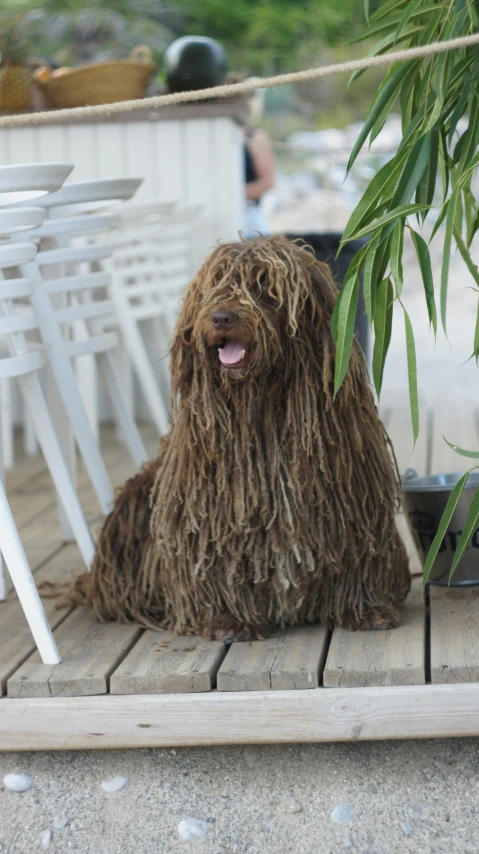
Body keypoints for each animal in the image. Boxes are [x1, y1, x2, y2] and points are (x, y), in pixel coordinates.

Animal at [72, 237, 412, 640]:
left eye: (265, 287)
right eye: (215, 285)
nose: (221, 317)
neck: (263, 411)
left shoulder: (349, 505)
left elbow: (356, 554)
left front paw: (364, 607)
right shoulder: (214, 520)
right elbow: (222, 566)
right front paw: (231, 618)